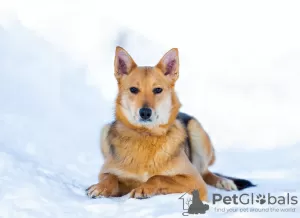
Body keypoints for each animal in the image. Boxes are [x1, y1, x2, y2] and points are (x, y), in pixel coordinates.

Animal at [85, 46, 254, 201]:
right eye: (133, 89)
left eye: (157, 90)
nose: (145, 112)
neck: (146, 137)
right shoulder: (108, 172)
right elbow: (110, 177)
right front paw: (101, 187)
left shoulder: (195, 181)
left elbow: (159, 177)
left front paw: (144, 188)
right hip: (104, 130)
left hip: (196, 130)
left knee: (205, 172)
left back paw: (224, 182)